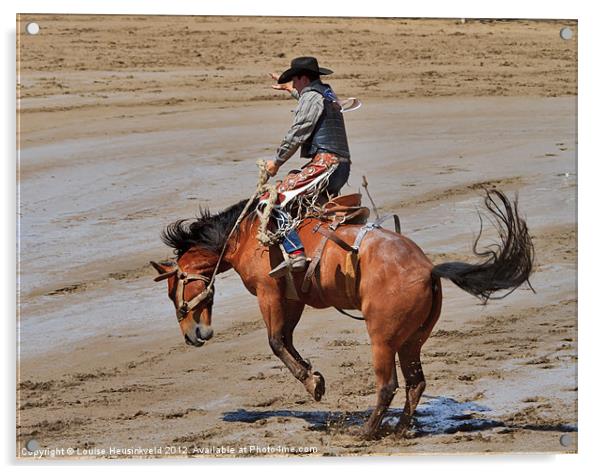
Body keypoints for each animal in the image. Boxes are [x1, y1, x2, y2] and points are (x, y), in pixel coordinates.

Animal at [150, 188, 528, 436]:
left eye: (172, 291)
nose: (192, 335)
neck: (245, 236)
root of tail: (428, 270)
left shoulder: (269, 293)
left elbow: (276, 341)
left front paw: (311, 382)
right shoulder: (293, 299)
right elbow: (286, 338)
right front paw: (313, 377)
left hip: (383, 340)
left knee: (388, 385)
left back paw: (365, 431)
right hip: (412, 341)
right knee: (415, 383)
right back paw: (399, 429)